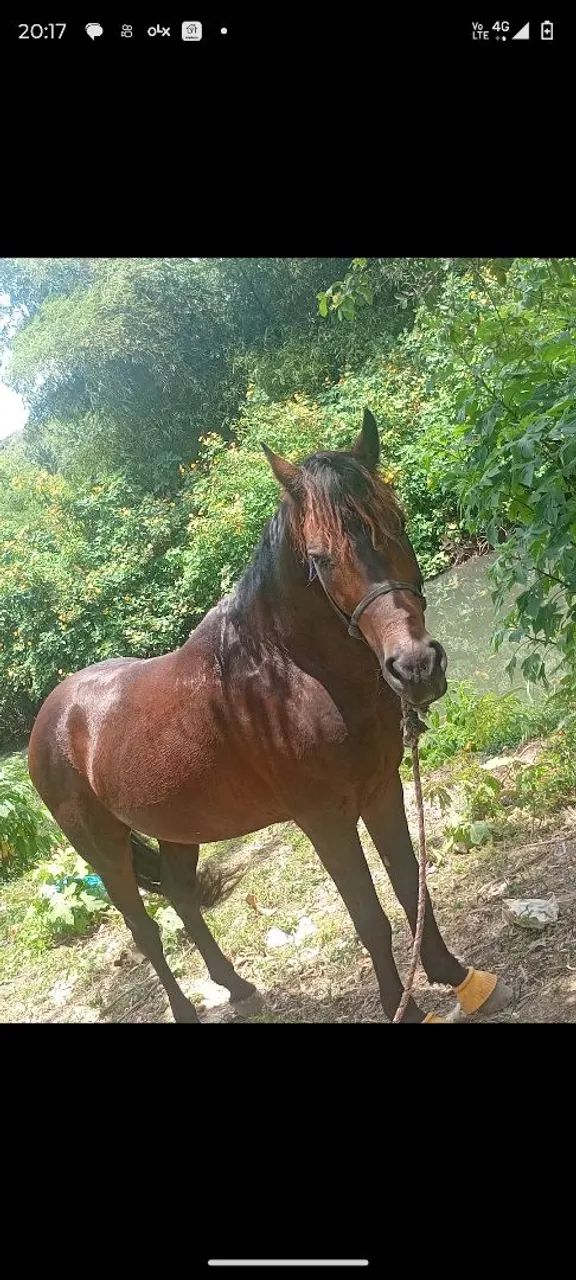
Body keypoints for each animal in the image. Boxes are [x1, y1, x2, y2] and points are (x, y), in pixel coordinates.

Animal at [28, 409, 510, 1023]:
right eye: (319, 559)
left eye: (397, 523)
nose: (417, 667)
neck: (291, 675)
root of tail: (51, 715)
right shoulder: (324, 819)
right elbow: (369, 916)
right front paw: (403, 1006)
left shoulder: (382, 789)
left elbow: (409, 885)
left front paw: (455, 975)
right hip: (103, 848)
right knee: (145, 932)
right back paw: (188, 1009)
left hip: (179, 826)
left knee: (182, 897)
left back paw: (237, 987)